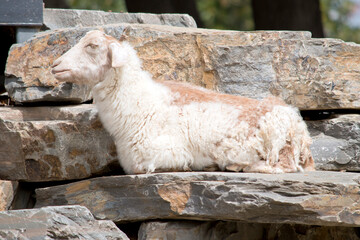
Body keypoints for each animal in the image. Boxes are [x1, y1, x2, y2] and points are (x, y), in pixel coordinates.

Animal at [51, 29, 316, 174]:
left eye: (93, 46)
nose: (55, 65)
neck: (141, 103)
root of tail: (301, 131)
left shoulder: (158, 153)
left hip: (277, 142)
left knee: (285, 166)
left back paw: (241, 166)